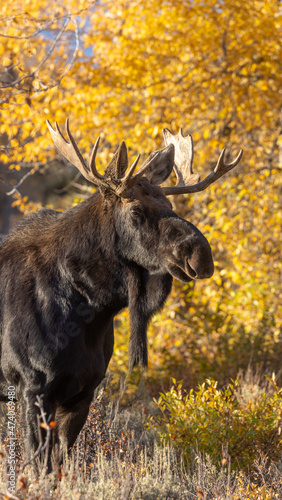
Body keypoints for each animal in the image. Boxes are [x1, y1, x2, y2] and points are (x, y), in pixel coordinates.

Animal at [0, 119, 242, 466]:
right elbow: (38, 466)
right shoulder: (31, 387)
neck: (91, 309)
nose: (200, 253)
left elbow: (61, 464)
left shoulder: (83, 391)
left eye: (169, 205)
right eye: (136, 211)